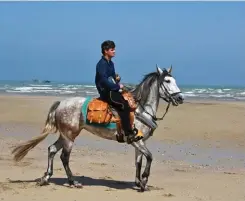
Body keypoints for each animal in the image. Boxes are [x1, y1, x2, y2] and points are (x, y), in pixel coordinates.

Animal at [11, 65, 184, 192]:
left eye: (174, 79)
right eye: (167, 80)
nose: (181, 98)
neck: (140, 110)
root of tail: (61, 103)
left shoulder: (140, 142)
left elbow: (139, 162)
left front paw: (139, 182)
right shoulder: (136, 141)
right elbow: (150, 157)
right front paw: (144, 181)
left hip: (66, 135)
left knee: (52, 149)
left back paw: (46, 178)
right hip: (69, 137)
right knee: (64, 157)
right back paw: (73, 182)